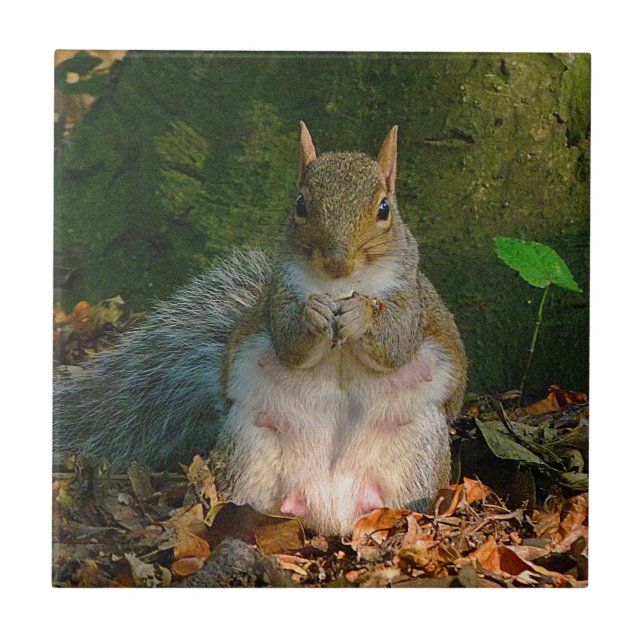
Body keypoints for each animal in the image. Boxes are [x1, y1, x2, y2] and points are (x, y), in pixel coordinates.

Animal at [54, 122, 467, 535]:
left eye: (384, 209)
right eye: (300, 205)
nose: (337, 262)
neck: (339, 285)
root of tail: (330, 511)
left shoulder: (411, 301)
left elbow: (397, 342)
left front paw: (360, 314)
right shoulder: (279, 296)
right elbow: (288, 341)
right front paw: (312, 313)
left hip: (417, 450)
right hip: (249, 448)